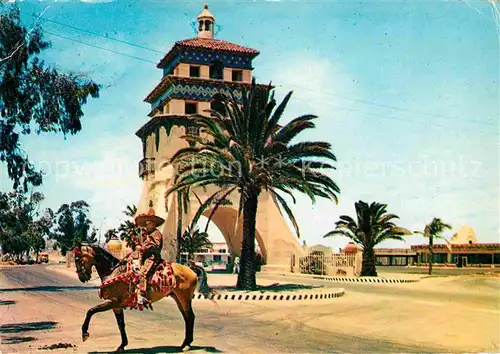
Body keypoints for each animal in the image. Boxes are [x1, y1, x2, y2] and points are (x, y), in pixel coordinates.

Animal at [72, 242, 215, 352]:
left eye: (78, 259)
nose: (82, 278)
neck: (114, 272)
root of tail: (191, 269)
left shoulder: (113, 302)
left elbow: (91, 311)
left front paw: (84, 333)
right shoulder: (116, 306)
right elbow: (121, 324)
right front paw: (122, 345)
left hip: (184, 298)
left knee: (190, 317)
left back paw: (186, 344)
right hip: (178, 298)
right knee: (187, 317)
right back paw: (186, 343)